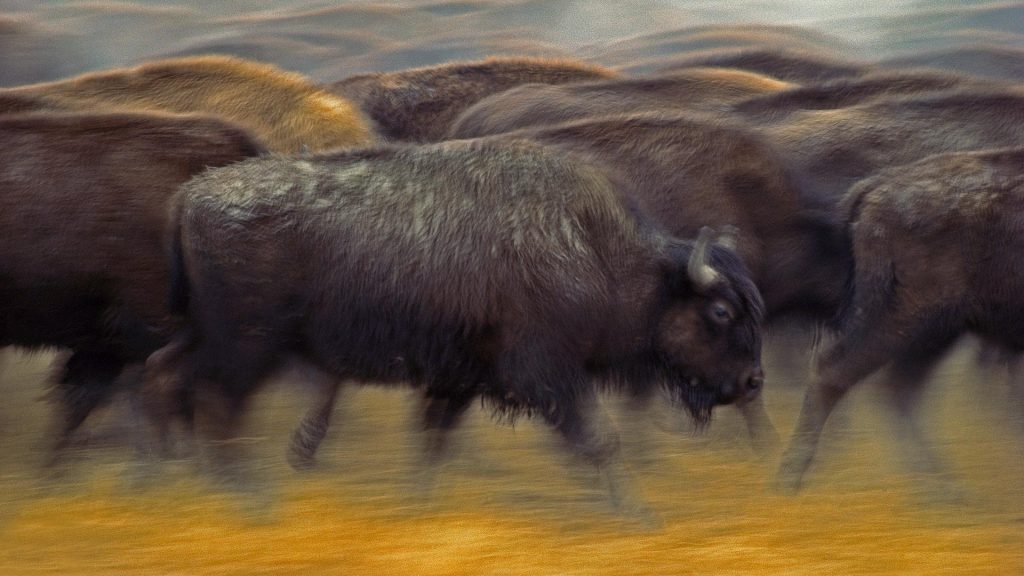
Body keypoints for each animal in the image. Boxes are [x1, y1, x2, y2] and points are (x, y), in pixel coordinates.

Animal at [146, 135, 770, 506]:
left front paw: (416, 502)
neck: (594, 249)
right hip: (247, 345)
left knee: (166, 374)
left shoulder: (463, 377)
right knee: (214, 400)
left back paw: (182, 482)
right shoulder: (547, 374)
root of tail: (188, 196)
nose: (752, 382)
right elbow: (599, 440)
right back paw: (246, 495)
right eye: (719, 311)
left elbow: (432, 439)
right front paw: (638, 517)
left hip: (206, 334)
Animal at [774, 147, 1024, 487]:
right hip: (910, 321)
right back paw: (788, 482)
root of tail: (878, 186)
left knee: (896, 390)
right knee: (835, 373)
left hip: (934, 333)